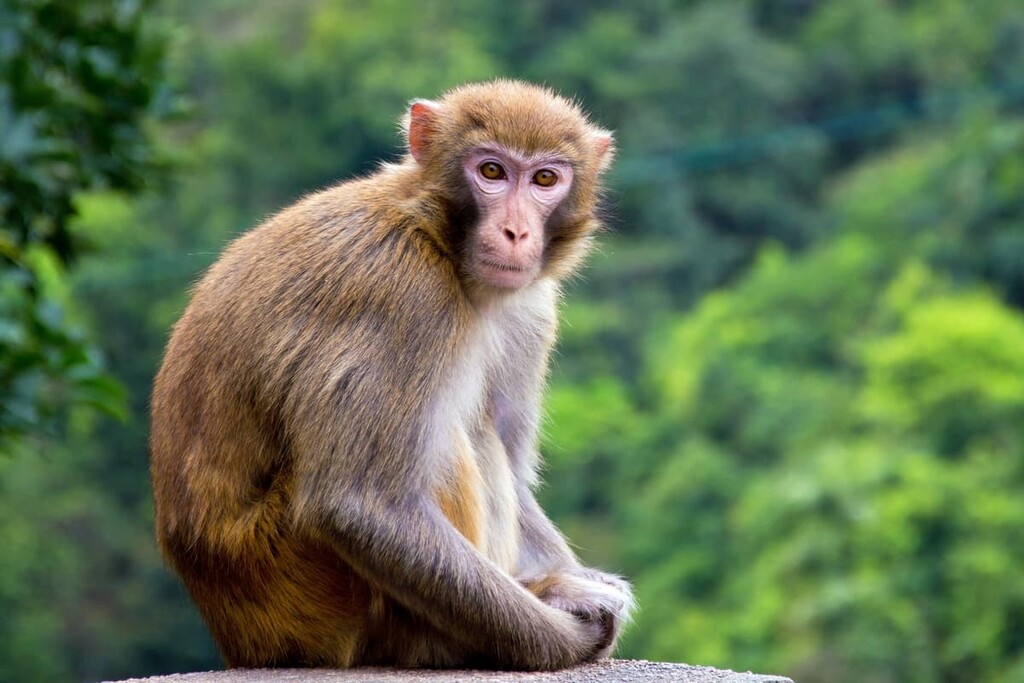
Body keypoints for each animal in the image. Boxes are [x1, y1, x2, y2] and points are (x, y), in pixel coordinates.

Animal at [150, 80, 634, 671]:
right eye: (491, 171)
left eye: (545, 179)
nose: (517, 232)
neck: (436, 236)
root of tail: (243, 640)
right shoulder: (404, 296)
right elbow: (360, 506)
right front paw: (568, 634)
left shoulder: (532, 309)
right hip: (312, 591)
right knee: (453, 439)